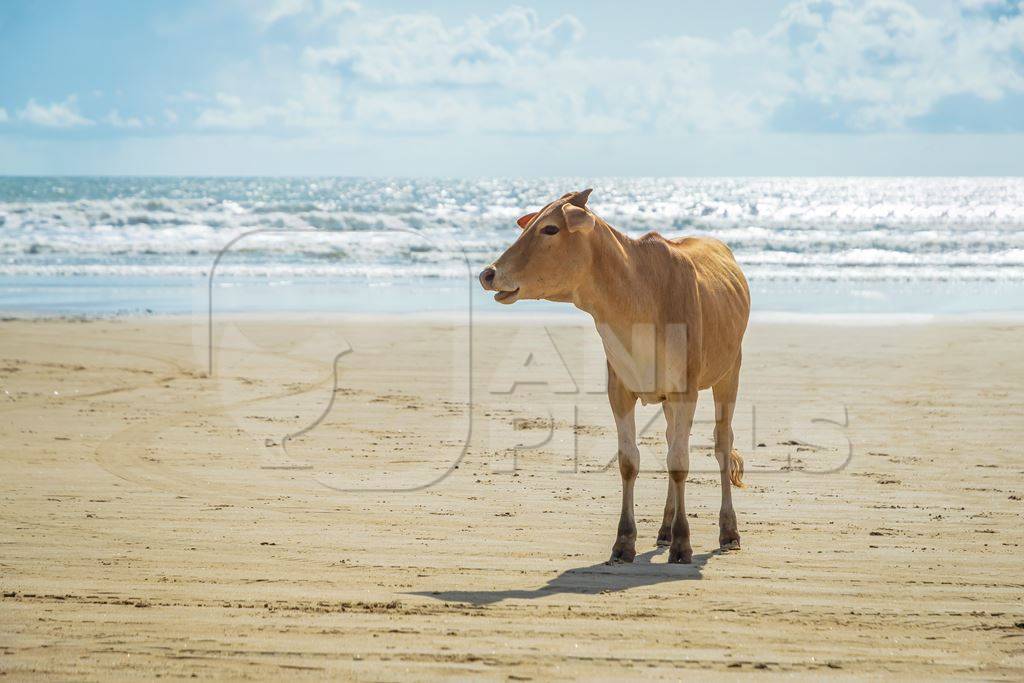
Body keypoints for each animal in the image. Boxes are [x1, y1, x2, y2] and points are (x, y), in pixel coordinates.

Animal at [479, 189, 753, 565]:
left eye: (550, 229)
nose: (488, 274)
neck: (637, 298)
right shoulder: (620, 391)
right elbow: (629, 461)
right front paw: (625, 541)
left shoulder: (685, 391)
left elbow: (679, 464)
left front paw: (683, 544)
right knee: (672, 440)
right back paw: (664, 529)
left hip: (730, 373)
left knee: (721, 446)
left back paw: (728, 531)